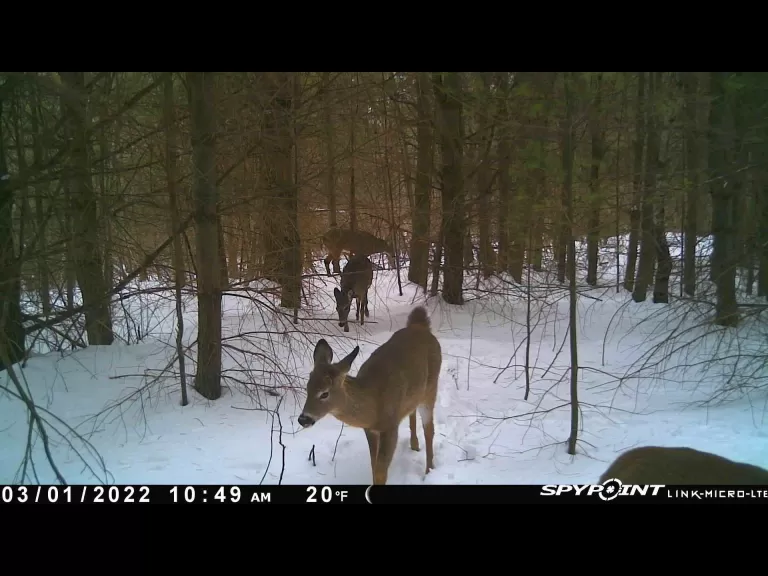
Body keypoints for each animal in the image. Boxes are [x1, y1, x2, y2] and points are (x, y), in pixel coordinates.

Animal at [297, 306, 442, 485]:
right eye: (307, 388)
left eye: (324, 393)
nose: (303, 419)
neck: (374, 403)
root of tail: (420, 325)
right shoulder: (370, 429)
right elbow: (374, 466)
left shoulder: (390, 426)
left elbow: (380, 471)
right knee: (412, 412)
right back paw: (414, 445)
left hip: (431, 389)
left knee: (429, 429)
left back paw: (429, 471)